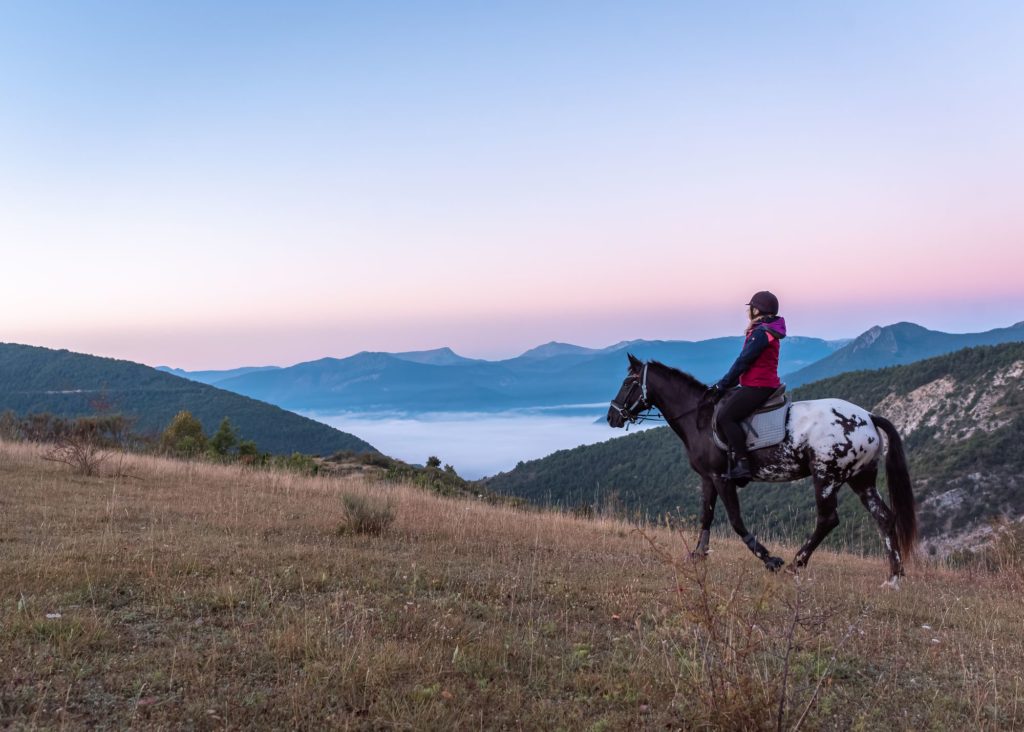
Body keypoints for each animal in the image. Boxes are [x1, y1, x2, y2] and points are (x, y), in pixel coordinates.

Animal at [606, 352, 921, 585]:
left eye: (628, 382)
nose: (611, 416)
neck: (700, 418)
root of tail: (867, 416)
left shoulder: (722, 478)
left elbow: (735, 520)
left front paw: (769, 559)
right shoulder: (708, 478)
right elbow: (706, 516)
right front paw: (697, 554)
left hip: (826, 476)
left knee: (828, 519)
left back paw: (795, 564)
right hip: (860, 479)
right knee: (884, 517)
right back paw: (894, 577)